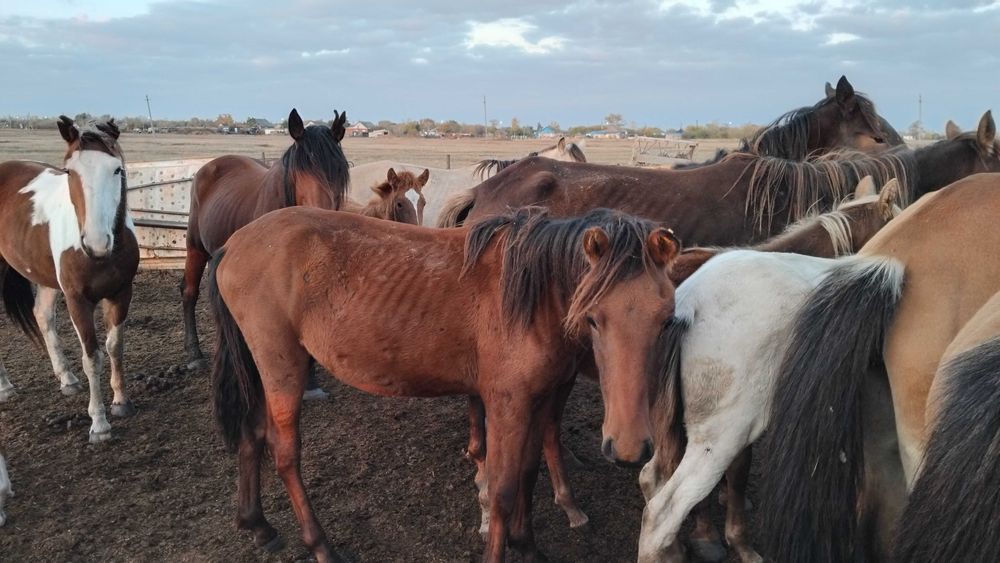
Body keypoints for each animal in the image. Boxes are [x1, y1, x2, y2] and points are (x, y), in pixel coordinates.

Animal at [0, 116, 138, 443]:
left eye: (117, 169)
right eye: (69, 172)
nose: (97, 243)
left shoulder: (121, 293)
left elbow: (115, 346)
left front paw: (120, 401)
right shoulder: (77, 300)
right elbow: (92, 357)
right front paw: (99, 424)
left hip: (48, 280)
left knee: (42, 315)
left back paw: (67, 378)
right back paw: (5, 387)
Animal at [209, 206, 679, 562]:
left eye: (665, 320)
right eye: (594, 318)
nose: (628, 448)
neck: (533, 298)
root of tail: (233, 243)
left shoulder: (538, 400)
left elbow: (529, 473)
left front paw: (527, 546)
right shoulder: (506, 404)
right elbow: (503, 489)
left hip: (262, 367)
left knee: (252, 435)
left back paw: (257, 524)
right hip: (282, 367)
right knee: (285, 455)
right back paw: (320, 546)